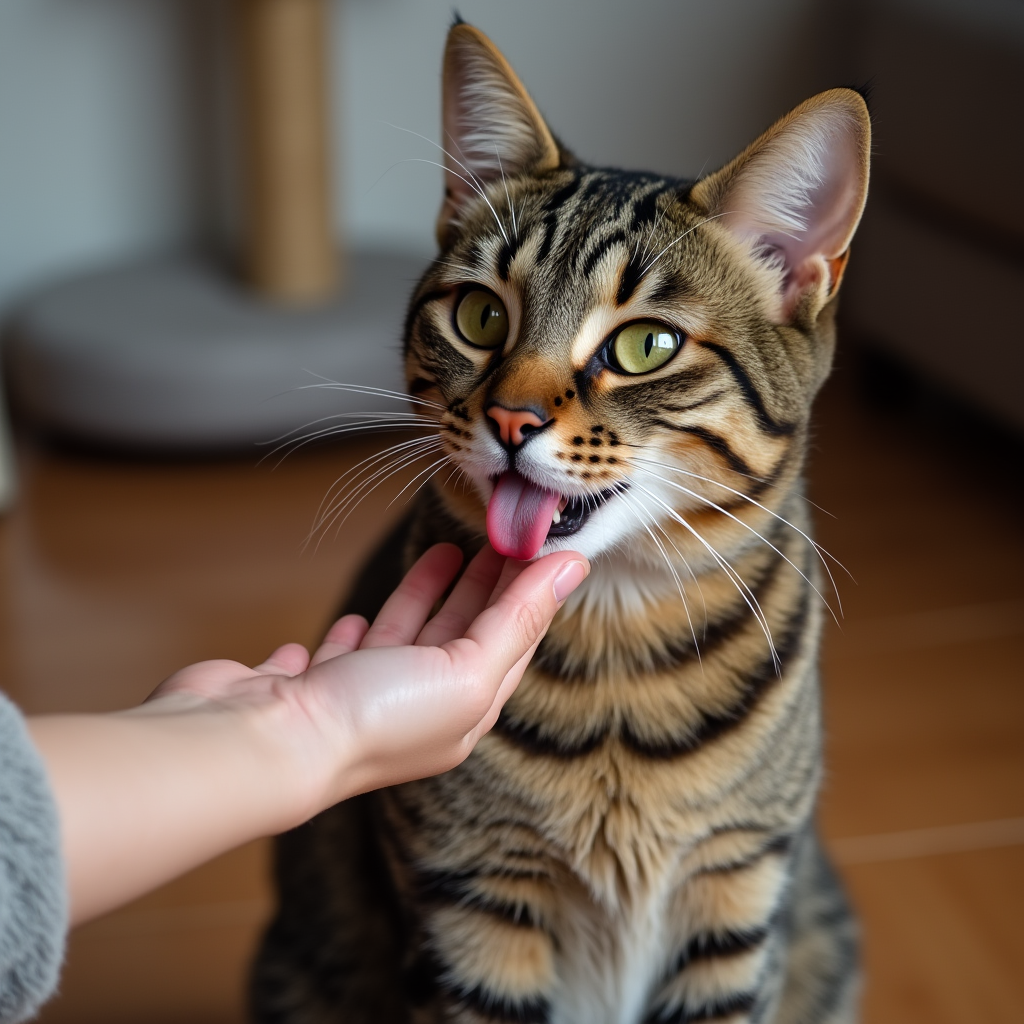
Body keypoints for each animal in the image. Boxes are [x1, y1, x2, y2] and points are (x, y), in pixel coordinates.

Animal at [251, 18, 868, 1024]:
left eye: (647, 344)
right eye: (478, 315)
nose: (511, 419)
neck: (616, 657)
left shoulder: (737, 894)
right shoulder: (468, 906)